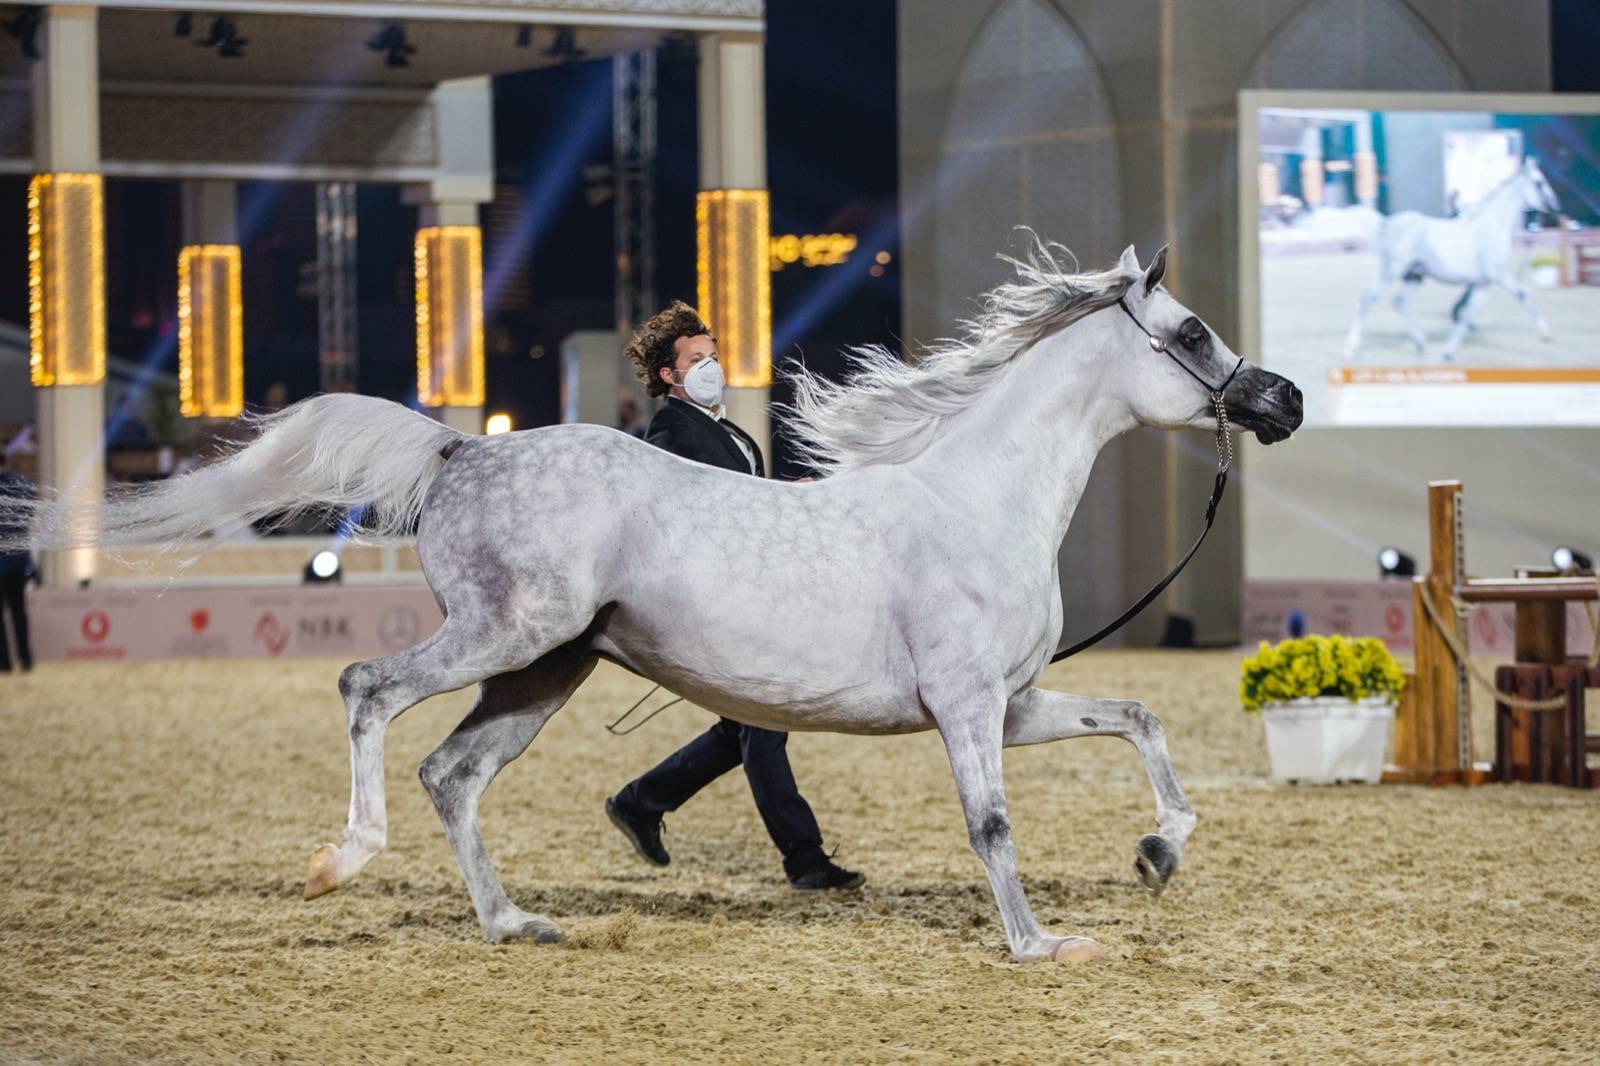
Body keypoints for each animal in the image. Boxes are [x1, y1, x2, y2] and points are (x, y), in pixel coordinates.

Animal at [2, 240, 1302, 964]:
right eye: (1191, 329)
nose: (1281, 400)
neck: (976, 498)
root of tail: (460, 452)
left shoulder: (1013, 702)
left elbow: (1140, 719)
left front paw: (1157, 851)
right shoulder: (970, 706)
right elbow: (990, 825)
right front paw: (1039, 945)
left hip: (545, 668)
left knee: (451, 772)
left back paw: (512, 924)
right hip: (504, 635)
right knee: (367, 687)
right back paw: (344, 860)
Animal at [1343, 156, 1561, 361]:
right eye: (1539, 182)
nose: (1556, 207)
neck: (1491, 226)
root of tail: (1387, 224)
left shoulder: (1482, 284)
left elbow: (1466, 314)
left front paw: (1448, 352)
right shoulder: (1500, 276)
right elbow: (1523, 296)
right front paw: (1546, 334)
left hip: (1414, 276)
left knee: (1398, 302)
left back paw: (1420, 343)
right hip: (1390, 271)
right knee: (1366, 301)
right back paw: (1351, 348)